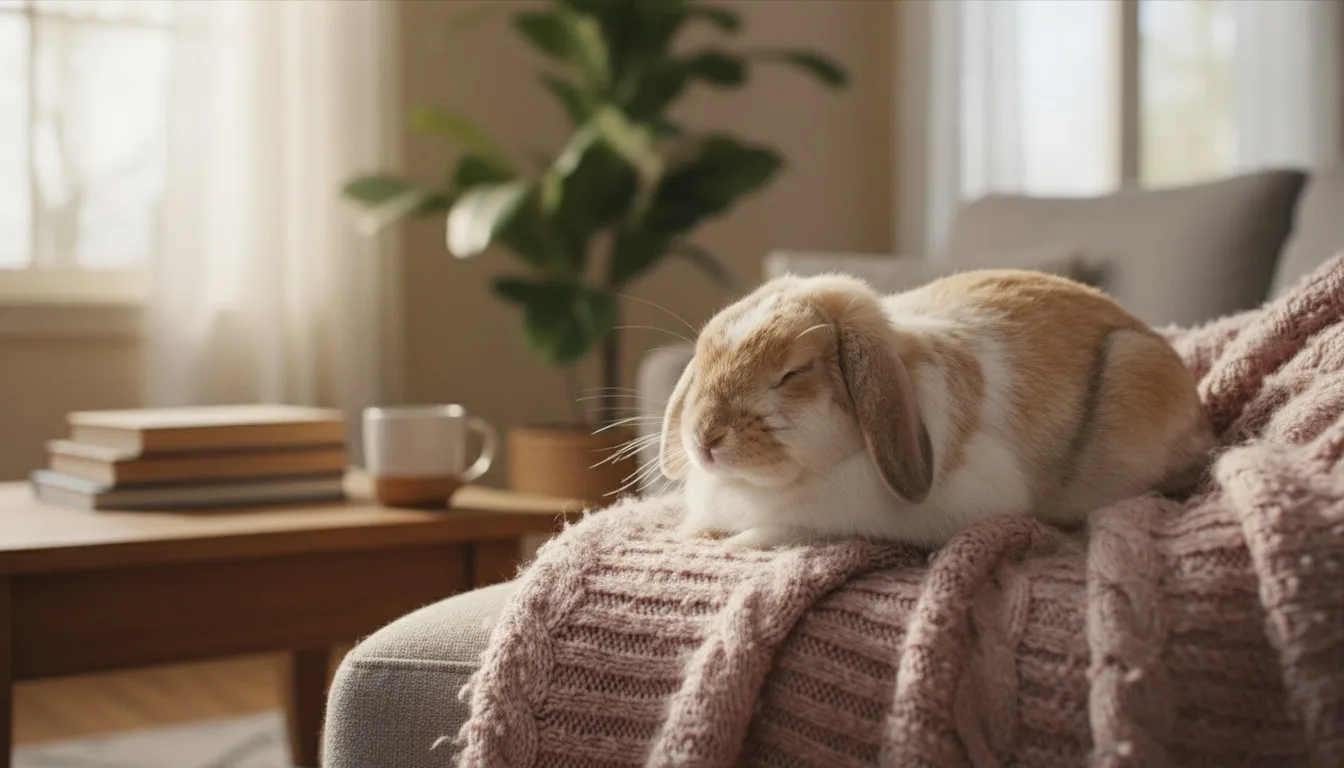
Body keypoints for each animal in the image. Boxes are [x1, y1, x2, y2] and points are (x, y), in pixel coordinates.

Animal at [658, 269, 1216, 550]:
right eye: (702, 355)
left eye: (794, 372)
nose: (705, 438)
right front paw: (696, 532)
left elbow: (794, 529)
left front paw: (732, 544)